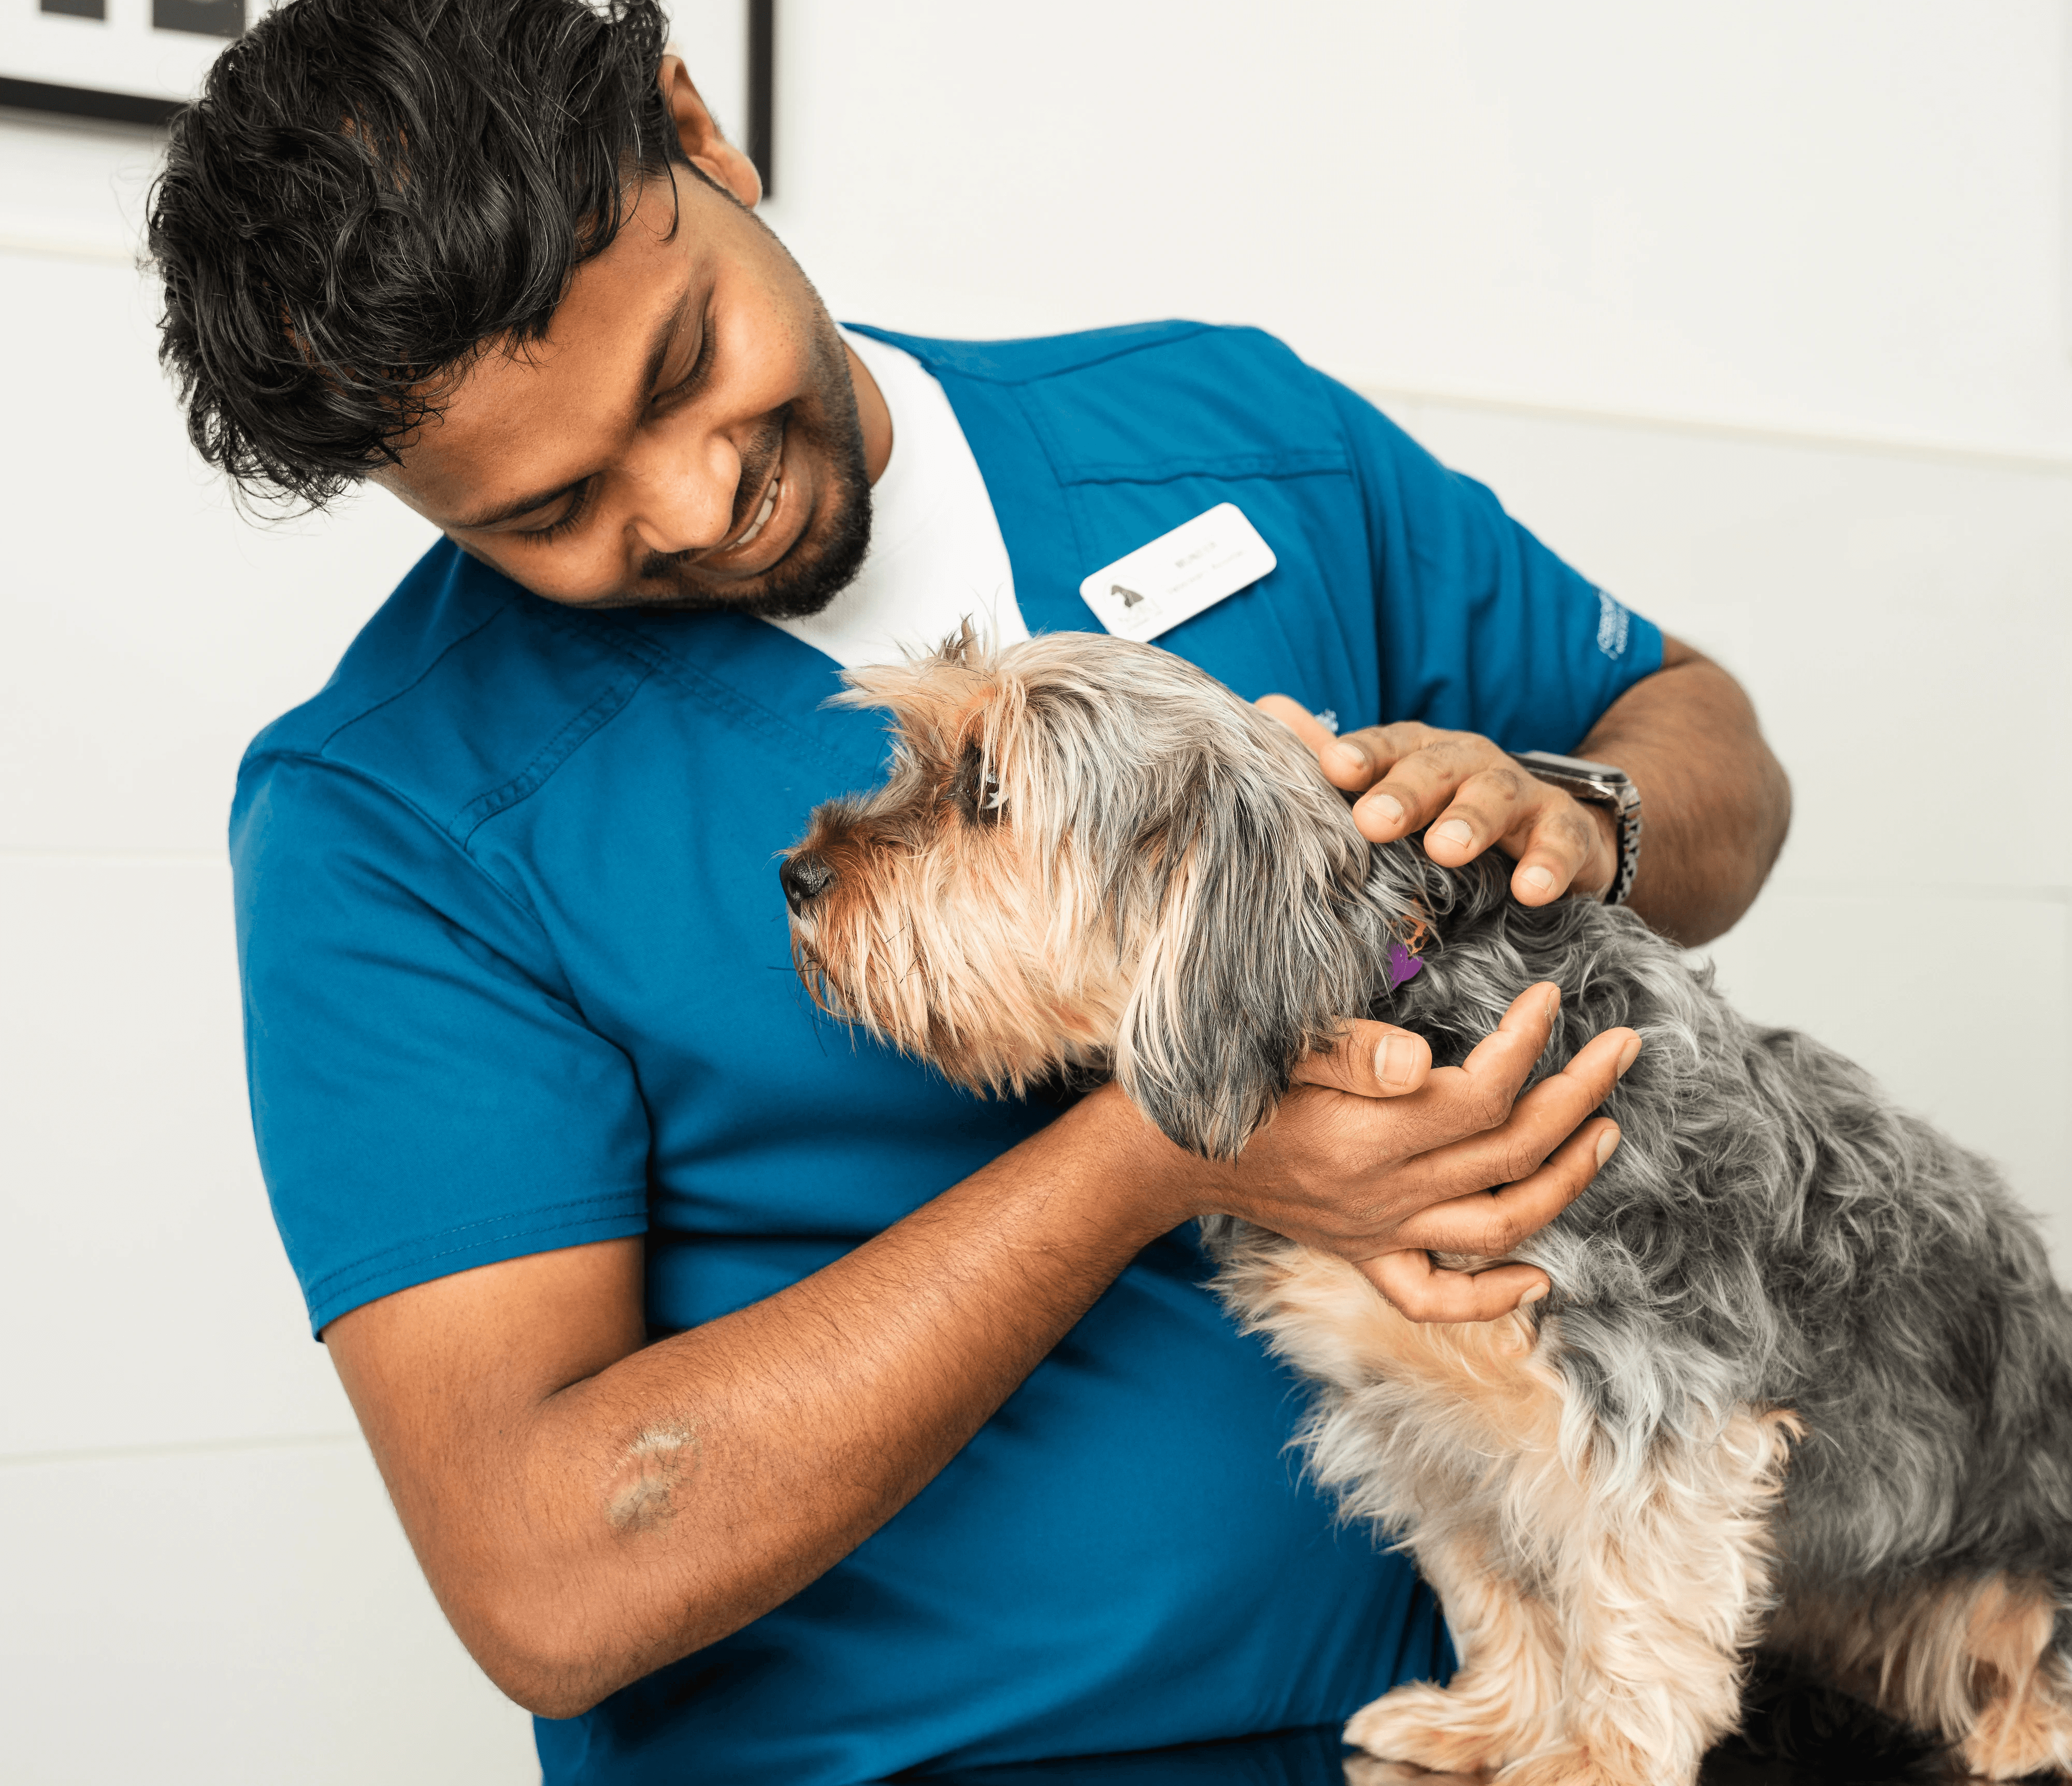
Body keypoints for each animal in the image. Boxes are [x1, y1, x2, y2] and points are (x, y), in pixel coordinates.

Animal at [779, 630, 2072, 1786]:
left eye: (987, 789)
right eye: (918, 757)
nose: (796, 875)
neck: (1394, 990)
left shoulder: (1654, 1410)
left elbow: (1630, 1599)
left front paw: (1596, 1757)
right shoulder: (1420, 1417)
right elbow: (1498, 1587)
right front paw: (1491, 1720)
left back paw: (2027, 1723)